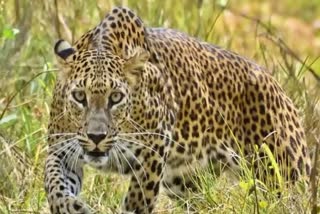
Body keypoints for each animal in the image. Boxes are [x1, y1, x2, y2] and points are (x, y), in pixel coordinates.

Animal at [44, 5, 310, 213]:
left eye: (116, 97)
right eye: (79, 96)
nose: (96, 137)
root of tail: (279, 87)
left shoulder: (153, 151)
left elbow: (138, 200)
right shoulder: (62, 150)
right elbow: (54, 184)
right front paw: (71, 207)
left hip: (283, 175)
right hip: (186, 183)